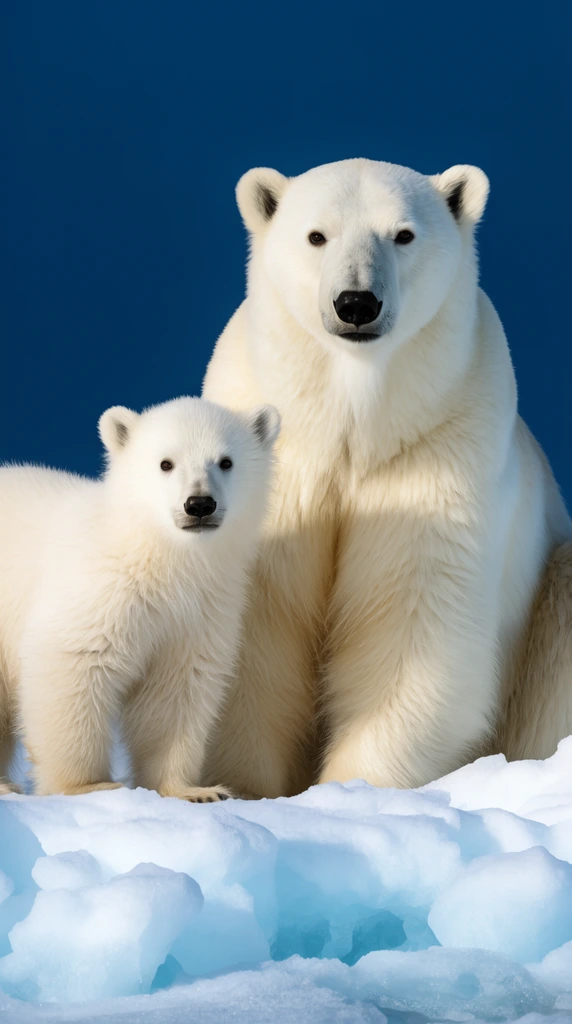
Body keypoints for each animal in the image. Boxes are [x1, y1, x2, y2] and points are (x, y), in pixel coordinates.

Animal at [0, 396, 280, 799]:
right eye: (166, 463)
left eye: (226, 461)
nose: (199, 504)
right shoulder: (101, 592)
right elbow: (72, 665)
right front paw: (88, 785)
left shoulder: (199, 610)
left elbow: (176, 691)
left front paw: (193, 790)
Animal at [202, 157, 572, 798]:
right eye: (317, 235)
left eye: (403, 234)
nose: (356, 302)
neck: (355, 424)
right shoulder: (274, 465)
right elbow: (256, 625)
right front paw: (244, 787)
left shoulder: (441, 452)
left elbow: (412, 629)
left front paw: (349, 791)